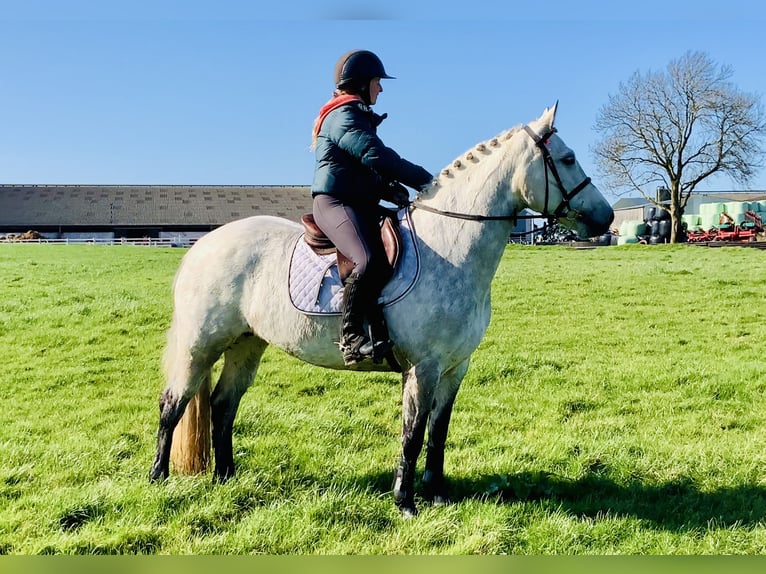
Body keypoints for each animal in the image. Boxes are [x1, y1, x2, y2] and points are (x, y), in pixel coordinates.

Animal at [149, 103, 614, 517]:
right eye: (567, 158)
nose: (606, 218)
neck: (451, 244)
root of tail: (202, 246)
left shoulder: (454, 368)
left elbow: (438, 433)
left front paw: (437, 494)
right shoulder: (424, 368)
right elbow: (412, 434)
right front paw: (405, 502)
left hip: (246, 344)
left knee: (223, 405)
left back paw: (226, 477)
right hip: (200, 345)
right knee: (173, 404)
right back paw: (158, 479)